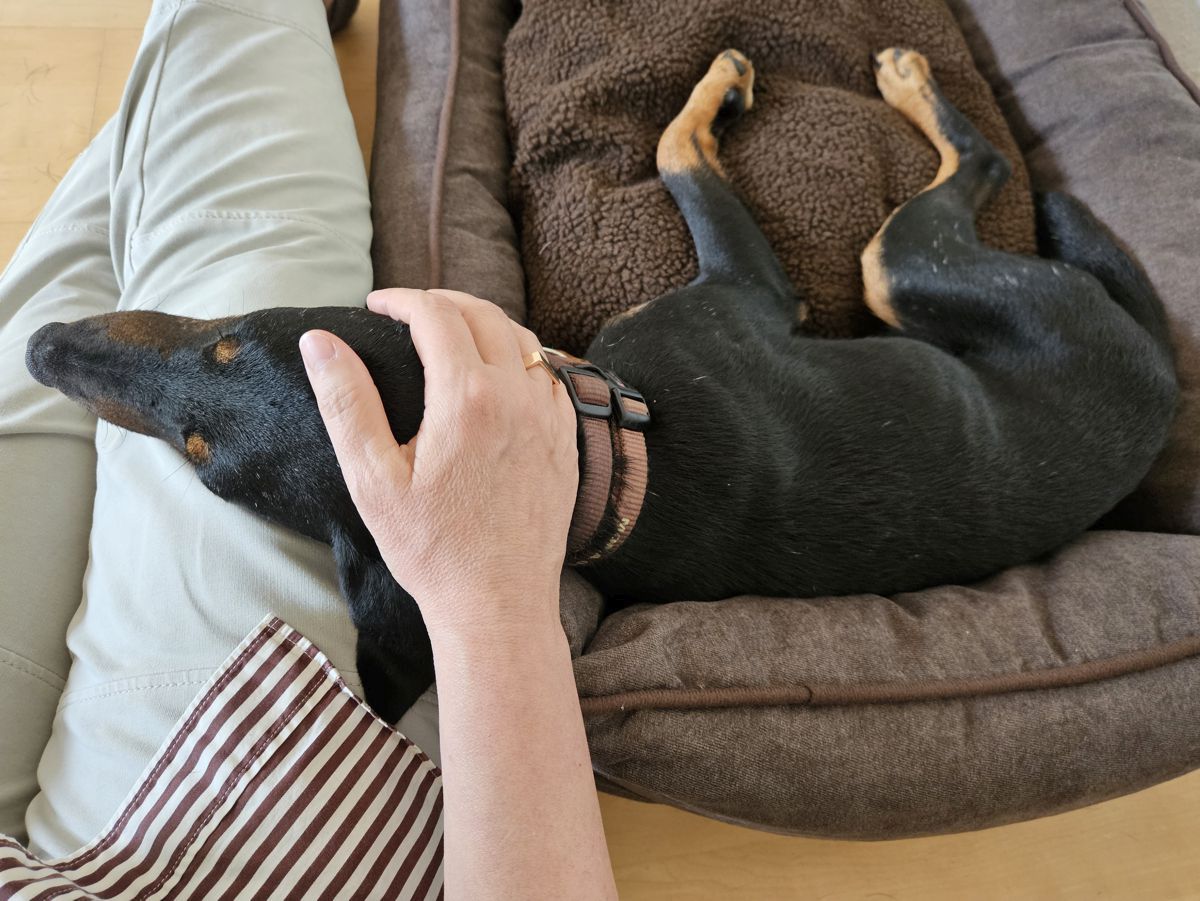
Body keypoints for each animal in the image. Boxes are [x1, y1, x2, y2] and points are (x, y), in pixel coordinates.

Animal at [23, 50, 1176, 724]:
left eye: (227, 344)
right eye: (199, 464)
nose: (39, 347)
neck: (603, 453)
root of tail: (1163, 389)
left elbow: (673, 146)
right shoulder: (744, 286)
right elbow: (673, 144)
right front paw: (721, 82)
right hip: (904, 267)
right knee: (981, 168)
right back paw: (901, 78)